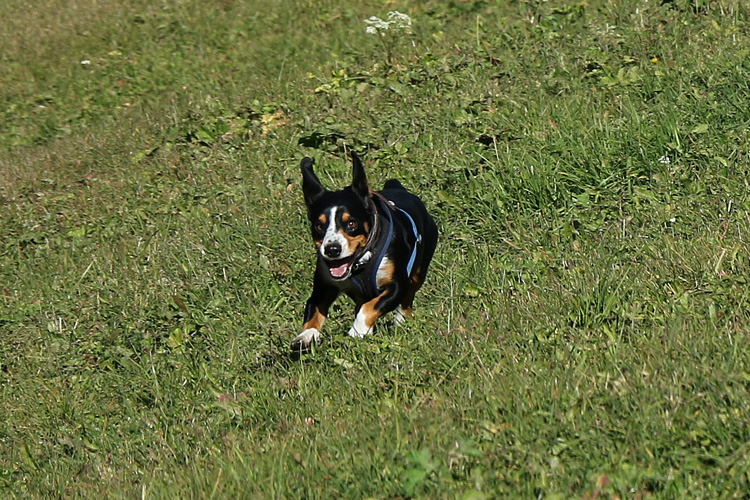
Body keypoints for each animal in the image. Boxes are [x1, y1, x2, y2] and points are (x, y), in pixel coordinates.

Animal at [290, 152, 438, 352]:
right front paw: (305, 336)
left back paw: (400, 321)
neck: (361, 263)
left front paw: (357, 330)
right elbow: (314, 310)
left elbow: (370, 308)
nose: (332, 249)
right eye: (319, 226)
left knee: (407, 298)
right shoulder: (323, 286)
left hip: (420, 268)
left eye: (351, 223)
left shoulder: (397, 285)